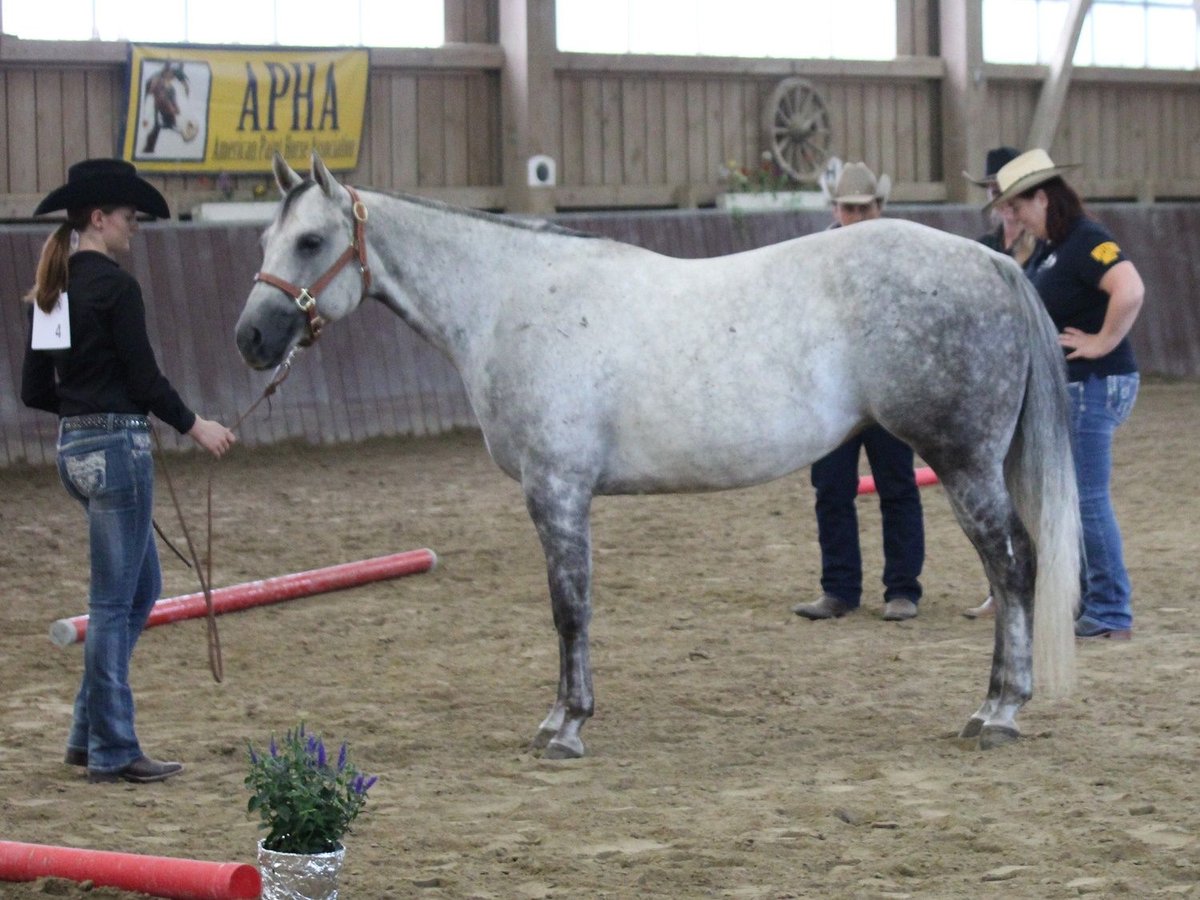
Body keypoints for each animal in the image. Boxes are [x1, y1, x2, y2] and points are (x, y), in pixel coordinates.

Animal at [236, 153, 1080, 759]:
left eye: (311, 241)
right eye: (266, 241)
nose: (251, 338)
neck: (511, 300)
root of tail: (994, 263)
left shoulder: (556, 490)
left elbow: (569, 607)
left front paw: (566, 726)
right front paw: (563, 717)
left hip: (963, 463)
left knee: (1012, 570)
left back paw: (998, 712)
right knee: (1014, 571)